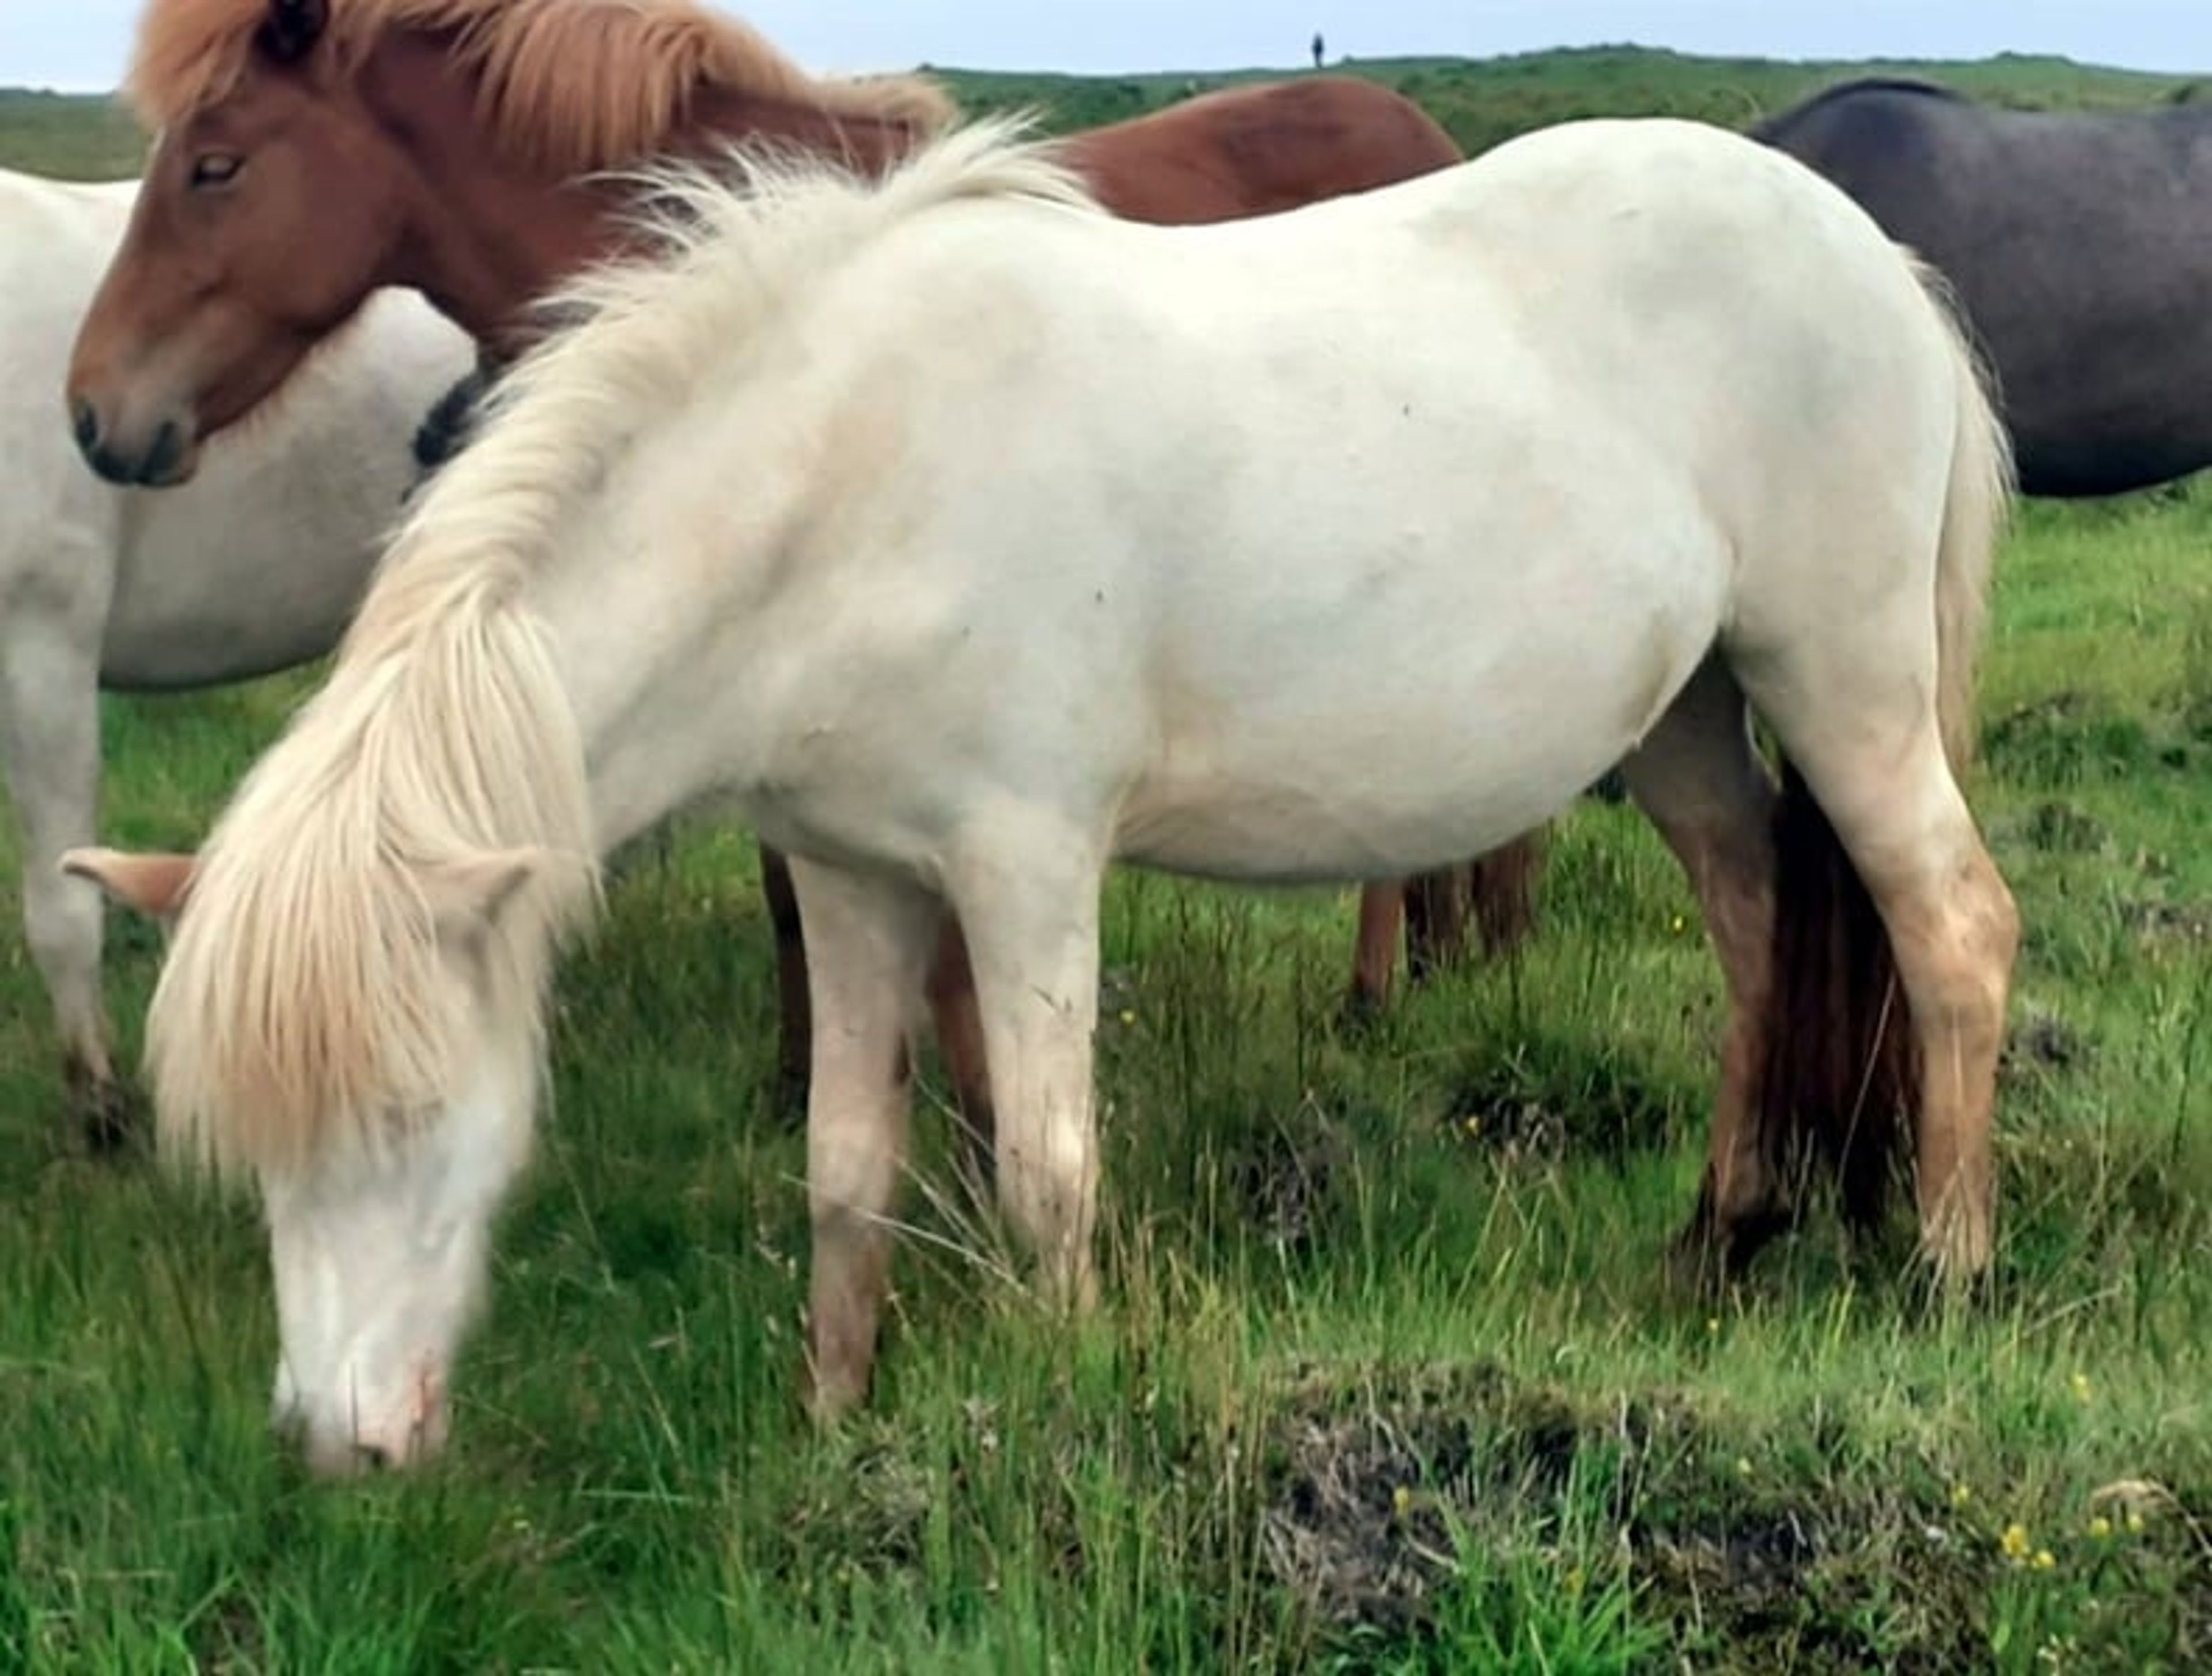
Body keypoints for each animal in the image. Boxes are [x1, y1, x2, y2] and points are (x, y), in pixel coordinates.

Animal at [69, 115, 2019, 1474]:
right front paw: (835, 1426)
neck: (843, 482)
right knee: (1759, 916)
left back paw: (1945, 1271)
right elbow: (845, 1172)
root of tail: (1879, 260)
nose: (339, 1446)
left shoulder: (1024, 865)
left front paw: (1064, 1409)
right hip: (1687, 710)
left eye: (411, 1114)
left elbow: (1046, 1174)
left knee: (1949, 930)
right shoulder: (849, 875)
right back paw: (1723, 1235)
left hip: (1839, 675)